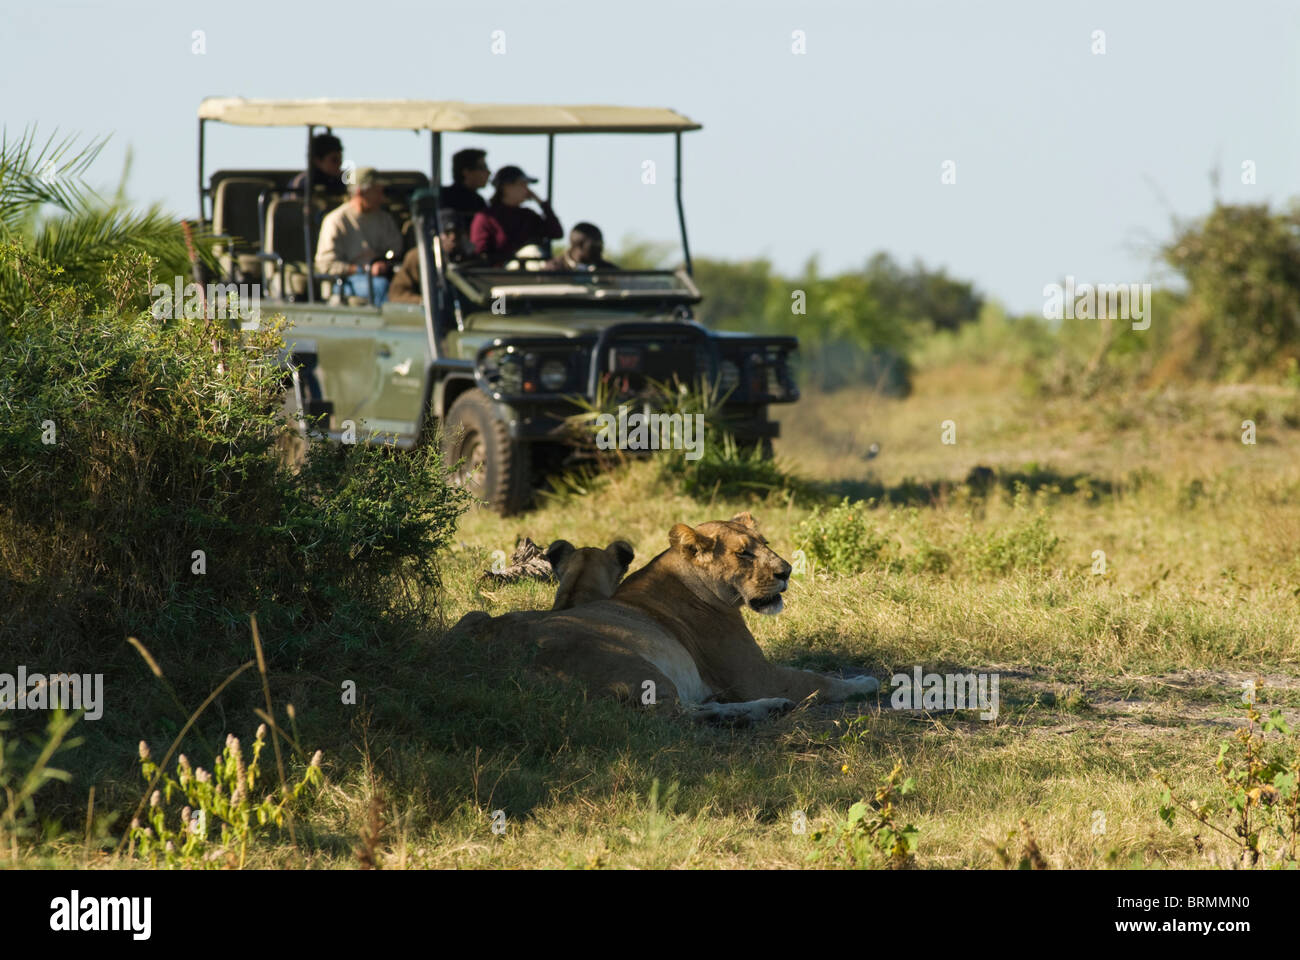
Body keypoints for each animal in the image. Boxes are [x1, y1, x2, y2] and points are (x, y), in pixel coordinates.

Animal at [452, 509, 878, 718]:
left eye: (765, 543)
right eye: (744, 553)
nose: (786, 571)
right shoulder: (757, 676)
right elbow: (820, 680)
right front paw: (866, 682)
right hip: (634, 665)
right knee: (678, 713)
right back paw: (766, 708)